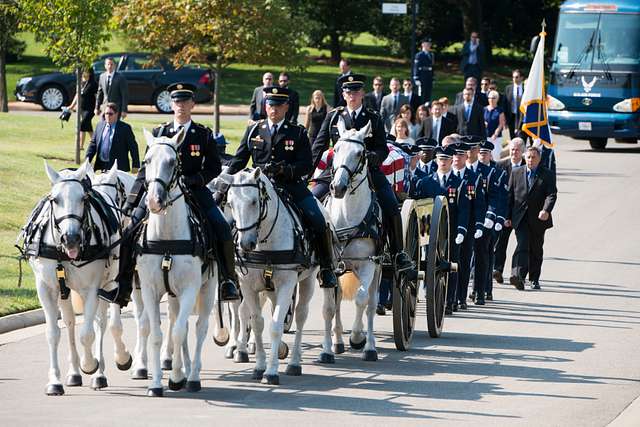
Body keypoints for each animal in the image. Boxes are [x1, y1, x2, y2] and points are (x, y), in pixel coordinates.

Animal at [25, 160, 122, 394]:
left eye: (83, 199)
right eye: (55, 199)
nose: (71, 238)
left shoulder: (92, 289)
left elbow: (87, 334)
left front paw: (90, 364)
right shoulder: (47, 288)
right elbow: (53, 333)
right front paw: (54, 381)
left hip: (107, 285)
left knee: (100, 324)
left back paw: (99, 373)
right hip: (65, 291)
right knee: (69, 323)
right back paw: (74, 372)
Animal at [136, 128, 225, 398]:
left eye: (172, 162)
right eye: (147, 161)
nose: (155, 201)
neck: (167, 240)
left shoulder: (189, 289)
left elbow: (178, 332)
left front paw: (176, 377)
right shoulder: (151, 290)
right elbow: (158, 334)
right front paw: (156, 384)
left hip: (207, 290)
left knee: (198, 327)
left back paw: (192, 376)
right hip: (172, 294)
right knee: (179, 323)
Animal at [220, 169, 318, 386]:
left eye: (254, 201)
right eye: (230, 203)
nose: (246, 243)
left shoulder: (287, 284)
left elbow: (275, 325)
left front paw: (271, 371)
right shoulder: (247, 285)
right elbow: (257, 322)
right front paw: (259, 366)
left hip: (308, 280)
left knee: (301, 315)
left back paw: (294, 362)